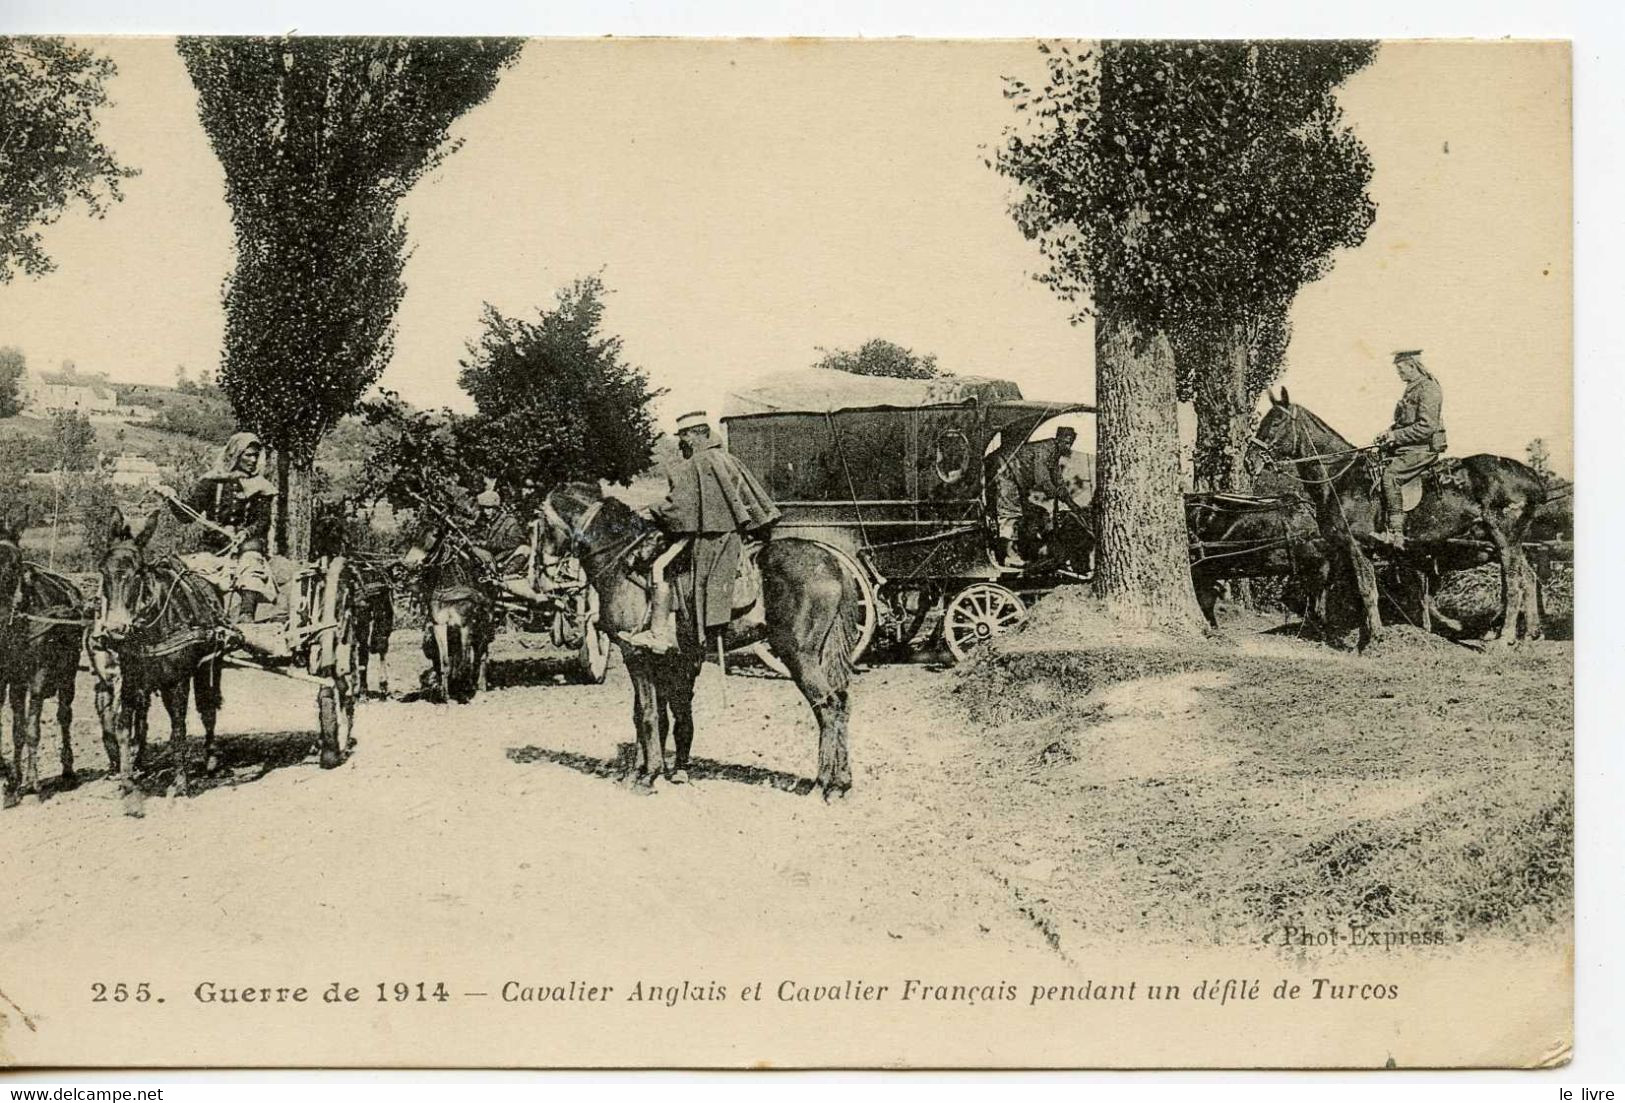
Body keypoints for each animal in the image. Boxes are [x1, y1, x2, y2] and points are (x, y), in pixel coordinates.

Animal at [0, 529, 87, 805]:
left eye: (15, 565)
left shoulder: (39, 677)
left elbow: (32, 730)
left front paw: (32, 782)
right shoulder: (7, 679)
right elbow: (16, 730)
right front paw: (12, 782)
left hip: (68, 674)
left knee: (64, 716)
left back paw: (68, 770)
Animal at [94, 503, 229, 805]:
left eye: (138, 572)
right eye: (103, 571)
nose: (115, 629)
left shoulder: (177, 681)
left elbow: (178, 730)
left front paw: (180, 785)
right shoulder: (131, 679)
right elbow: (123, 728)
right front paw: (127, 782)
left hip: (208, 666)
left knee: (207, 709)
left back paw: (211, 759)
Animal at [539, 484, 858, 802]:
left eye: (540, 524)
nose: (545, 579)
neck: (620, 561)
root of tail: (834, 563)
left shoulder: (635, 654)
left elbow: (648, 714)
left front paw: (648, 775)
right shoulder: (663, 660)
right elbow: (653, 715)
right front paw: (640, 771)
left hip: (797, 655)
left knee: (827, 706)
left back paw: (821, 785)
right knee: (841, 703)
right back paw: (840, 783)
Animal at [1248, 388, 1540, 646]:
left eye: (1276, 421)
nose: (1250, 460)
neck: (1340, 478)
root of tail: (1531, 477)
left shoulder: (1357, 545)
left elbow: (1366, 589)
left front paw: (1376, 637)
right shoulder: (1341, 547)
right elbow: (1344, 589)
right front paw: (1356, 633)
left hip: (1504, 537)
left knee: (1513, 581)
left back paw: (1504, 638)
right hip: (1506, 541)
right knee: (1528, 576)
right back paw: (1529, 634)